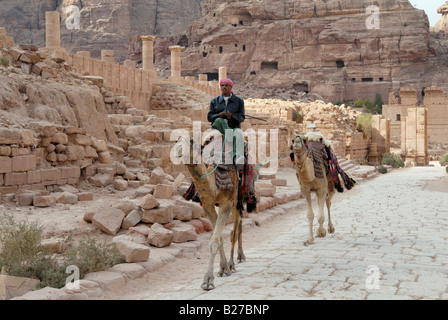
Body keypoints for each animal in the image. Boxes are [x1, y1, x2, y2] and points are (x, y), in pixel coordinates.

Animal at [174, 134, 245, 292]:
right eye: (176, 140)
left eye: (191, 141)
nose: (177, 150)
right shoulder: (207, 205)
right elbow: (218, 238)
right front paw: (222, 269)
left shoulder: (226, 203)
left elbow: (215, 241)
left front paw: (208, 281)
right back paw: (234, 261)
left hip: (237, 198)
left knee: (236, 229)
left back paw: (236, 261)